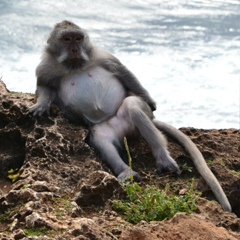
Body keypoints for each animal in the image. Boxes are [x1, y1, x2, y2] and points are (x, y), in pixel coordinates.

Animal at [29, 21, 232, 212]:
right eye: (67, 39)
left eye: (78, 38)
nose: (74, 49)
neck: (74, 66)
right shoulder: (45, 67)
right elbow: (44, 87)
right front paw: (41, 105)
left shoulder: (101, 54)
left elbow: (122, 72)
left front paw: (149, 99)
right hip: (107, 128)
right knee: (100, 138)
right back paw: (126, 172)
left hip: (129, 120)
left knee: (133, 107)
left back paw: (163, 157)